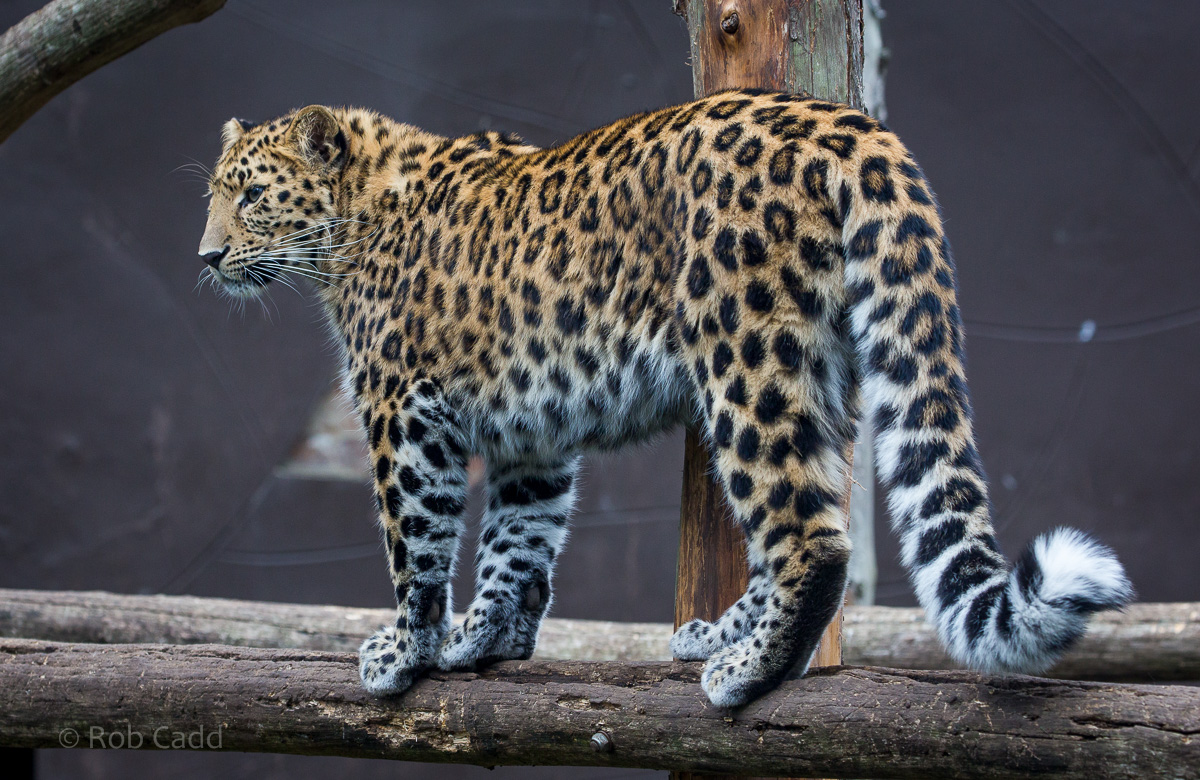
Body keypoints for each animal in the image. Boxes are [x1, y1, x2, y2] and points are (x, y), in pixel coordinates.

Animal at [198, 90, 1133, 708]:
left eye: (250, 194)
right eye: (213, 192)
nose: (205, 257)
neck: (348, 226)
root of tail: (848, 124)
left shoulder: (403, 412)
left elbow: (415, 541)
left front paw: (405, 648)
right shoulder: (530, 433)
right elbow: (517, 540)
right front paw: (488, 638)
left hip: (746, 357)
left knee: (811, 537)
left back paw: (748, 671)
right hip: (824, 368)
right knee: (814, 507)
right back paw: (721, 635)